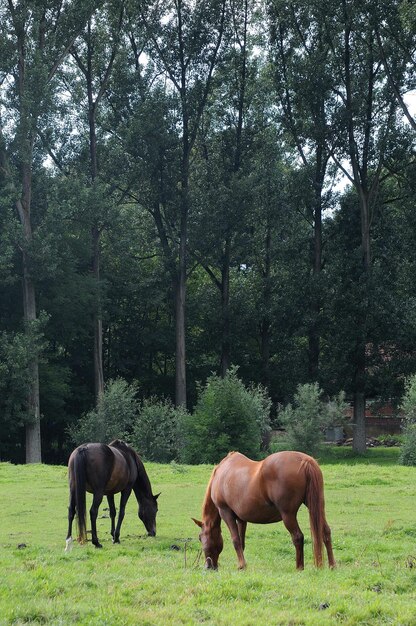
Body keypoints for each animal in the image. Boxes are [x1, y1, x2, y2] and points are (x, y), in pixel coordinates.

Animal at [193, 450, 336, 568]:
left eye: (200, 537)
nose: (208, 566)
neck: (222, 472)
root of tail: (305, 460)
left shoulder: (226, 512)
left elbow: (235, 540)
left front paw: (241, 565)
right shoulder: (242, 519)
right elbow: (241, 541)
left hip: (288, 515)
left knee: (298, 537)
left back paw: (299, 567)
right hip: (316, 507)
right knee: (325, 532)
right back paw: (332, 565)